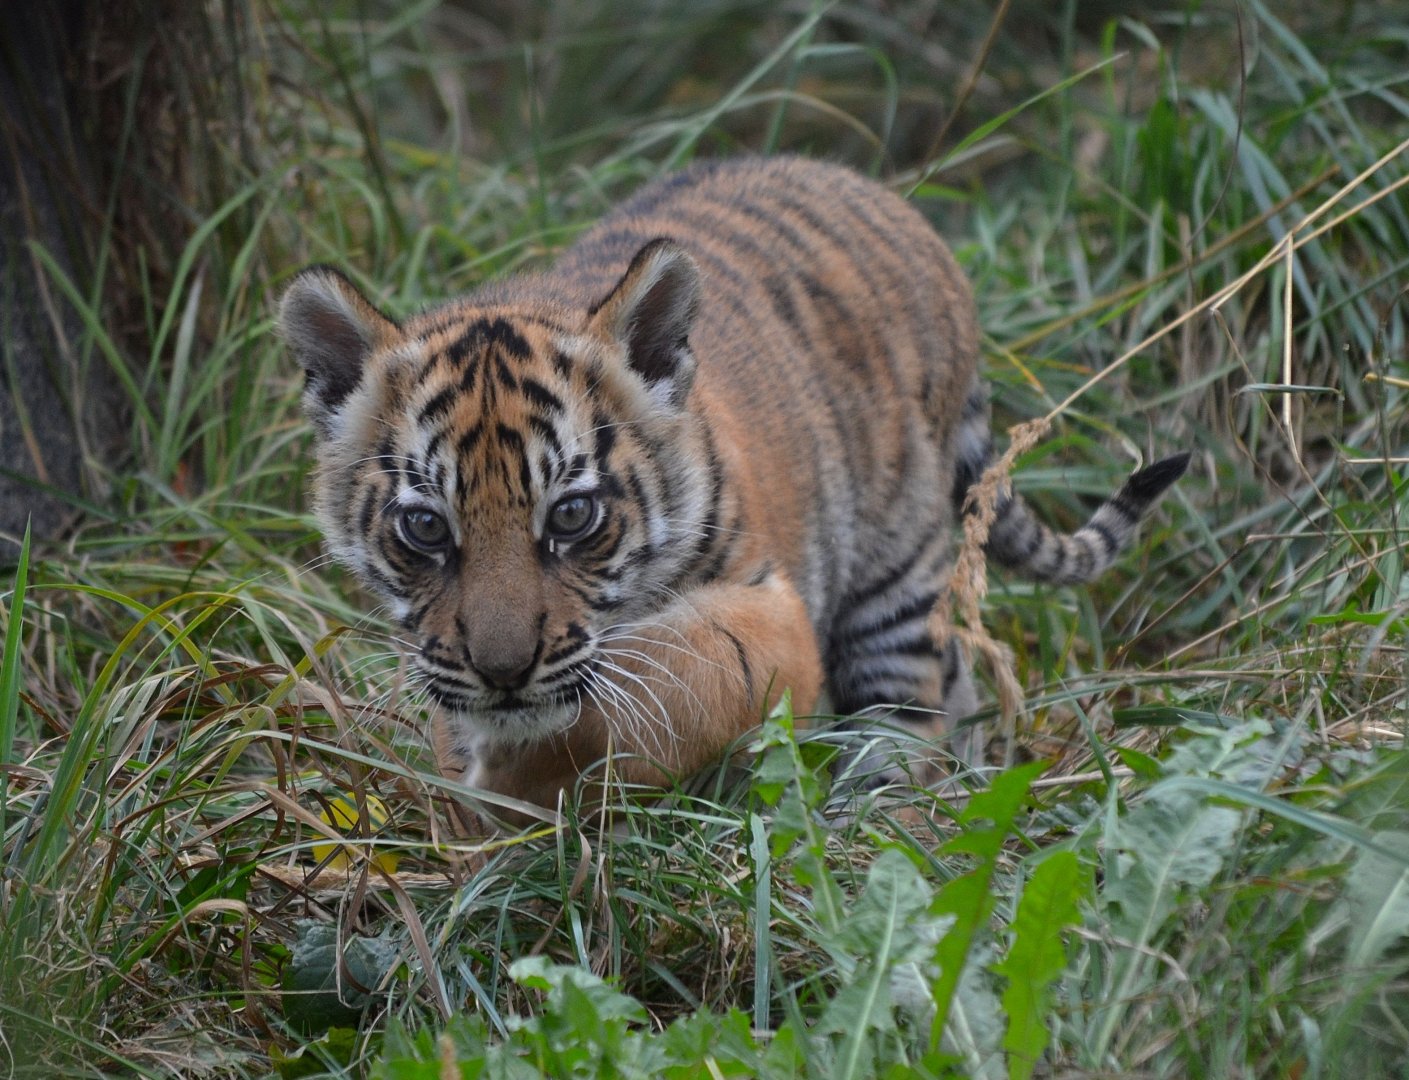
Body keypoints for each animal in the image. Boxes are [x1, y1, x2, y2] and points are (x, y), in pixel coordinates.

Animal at [279, 155, 1187, 823]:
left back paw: (882, 806)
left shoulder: (768, 607)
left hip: (896, 571)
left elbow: (671, 679)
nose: (503, 672)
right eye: (426, 529)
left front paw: (516, 785)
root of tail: (904, 213)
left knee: (905, 711)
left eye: (572, 515)